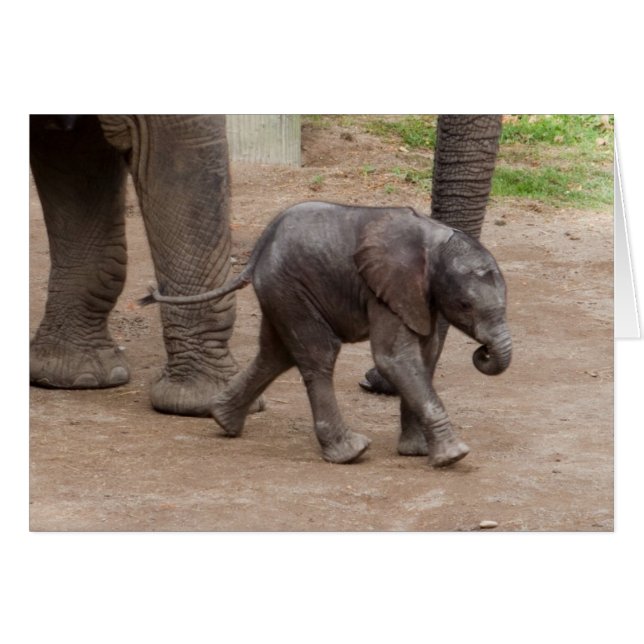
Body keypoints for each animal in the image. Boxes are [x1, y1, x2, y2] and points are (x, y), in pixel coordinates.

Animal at [140, 201, 512, 467]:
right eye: (465, 304)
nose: (483, 352)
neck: (436, 241)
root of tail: (258, 250)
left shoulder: (420, 296)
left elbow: (425, 356)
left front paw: (416, 452)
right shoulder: (385, 289)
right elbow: (394, 359)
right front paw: (454, 456)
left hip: (281, 292)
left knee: (275, 354)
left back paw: (223, 420)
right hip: (291, 288)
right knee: (318, 355)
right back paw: (350, 452)